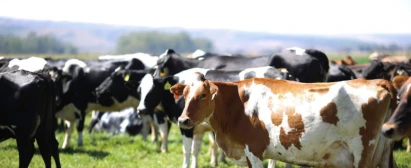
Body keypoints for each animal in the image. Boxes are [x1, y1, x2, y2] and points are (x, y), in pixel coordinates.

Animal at [171, 73, 396, 168]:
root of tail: (376, 81)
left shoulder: (253, 151)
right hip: (383, 153)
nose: (183, 120)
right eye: (185, 95)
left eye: (203, 95)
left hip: (361, 152)